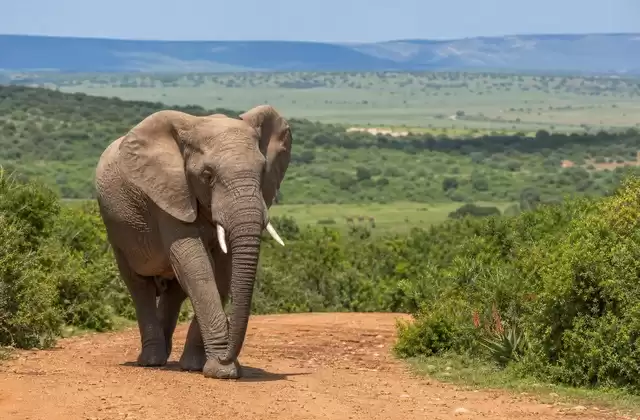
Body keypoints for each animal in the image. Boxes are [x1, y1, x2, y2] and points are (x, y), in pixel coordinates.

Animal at [94, 105, 292, 379]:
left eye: (263, 171)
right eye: (207, 175)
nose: (229, 356)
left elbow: (222, 271)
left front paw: (204, 367)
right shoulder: (169, 194)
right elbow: (196, 266)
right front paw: (223, 370)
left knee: (174, 290)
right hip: (117, 231)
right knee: (139, 285)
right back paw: (152, 361)